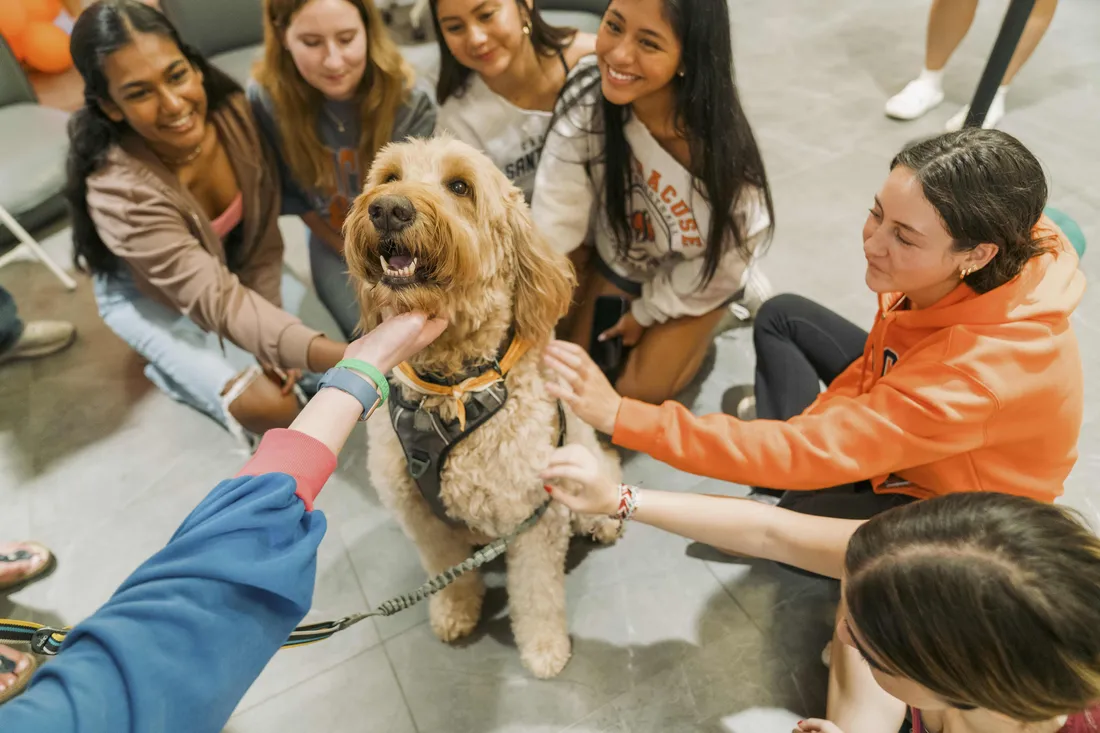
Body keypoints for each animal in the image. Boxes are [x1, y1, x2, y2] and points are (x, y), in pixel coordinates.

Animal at [345, 135, 620, 673]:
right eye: (389, 177)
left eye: (459, 187)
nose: (388, 209)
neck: (453, 390)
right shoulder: (420, 517)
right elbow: (446, 569)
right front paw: (455, 610)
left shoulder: (533, 515)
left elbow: (536, 593)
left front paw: (543, 648)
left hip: (576, 460)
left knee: (605, 472)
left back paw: (602, 518)